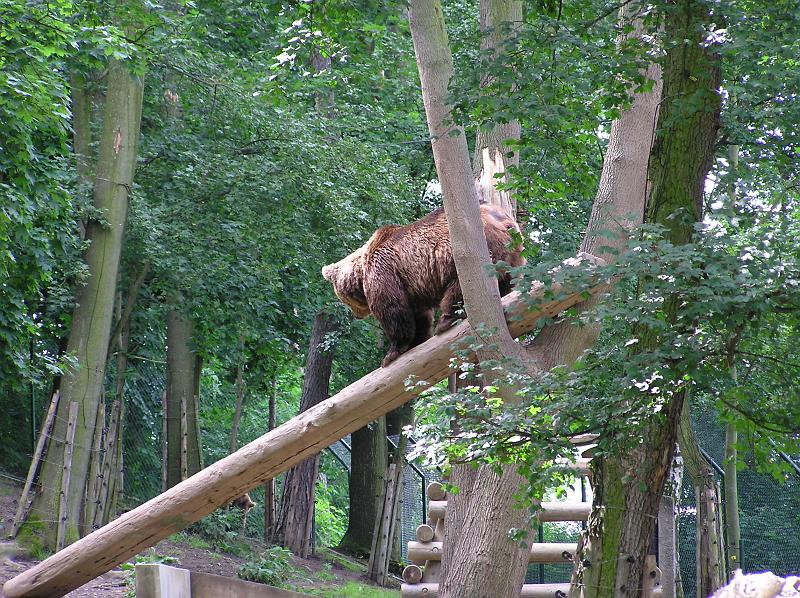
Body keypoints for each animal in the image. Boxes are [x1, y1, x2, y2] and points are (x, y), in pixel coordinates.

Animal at [320, 204, 524, 368]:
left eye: (343, 298)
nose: (356, 315)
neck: (362, 270)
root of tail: (505, 222)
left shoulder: (384, 271)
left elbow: (392, 310)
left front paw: (391, 353)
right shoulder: (411, 288)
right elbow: (418, 316)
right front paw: (416, 342)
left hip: (465, 252)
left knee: (461, 286)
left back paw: (445, 321)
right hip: (512, 255)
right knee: (506, 282)